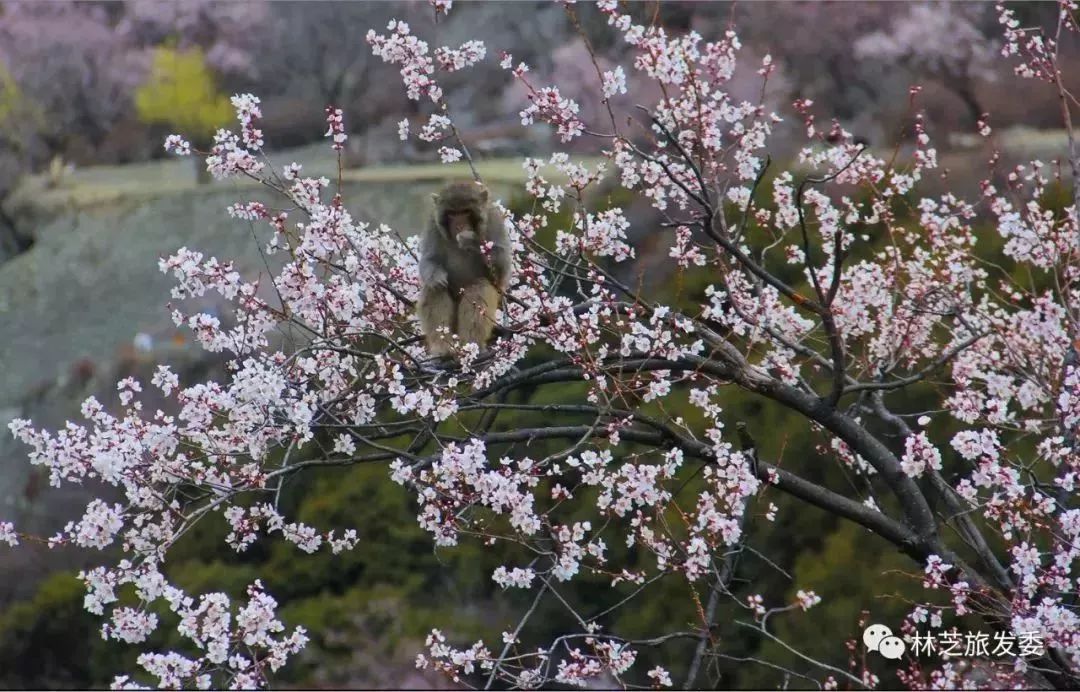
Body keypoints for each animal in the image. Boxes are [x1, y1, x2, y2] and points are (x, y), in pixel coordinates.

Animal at [416, 179, 509, 356]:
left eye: (465, 211)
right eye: (452, 213)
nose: (459, 226)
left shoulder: (495, 220)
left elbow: (502, 269)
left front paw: (471, 240)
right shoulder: (433, 224)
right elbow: (429, 259)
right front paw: (436, 278)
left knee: (480, 287)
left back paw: (471, 345)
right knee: (434, 289)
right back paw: (442, 347)